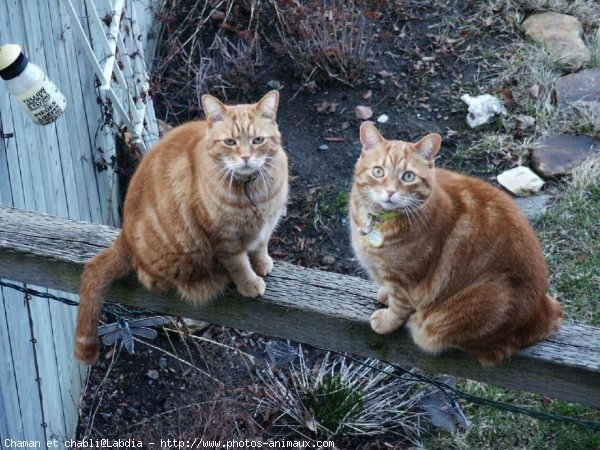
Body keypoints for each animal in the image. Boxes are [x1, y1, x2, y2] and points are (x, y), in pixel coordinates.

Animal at [75, 91, 288, 366]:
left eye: (258, 140)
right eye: (230, 142)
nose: (245, 158)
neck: (252, 192)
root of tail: (124, 236)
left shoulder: (266, 227)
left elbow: (261, 246)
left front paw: (262, 264)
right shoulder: (224, 240)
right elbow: (239, 265)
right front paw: (250, 283)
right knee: (151, 279)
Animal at [352, 122, 564, 366]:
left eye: (408, 176)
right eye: (378, 172)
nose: (390, 192)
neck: (378, 222)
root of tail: (542, 308)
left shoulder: (408, 282)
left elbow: (398, 307)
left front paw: (386, 321)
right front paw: (384, 294)